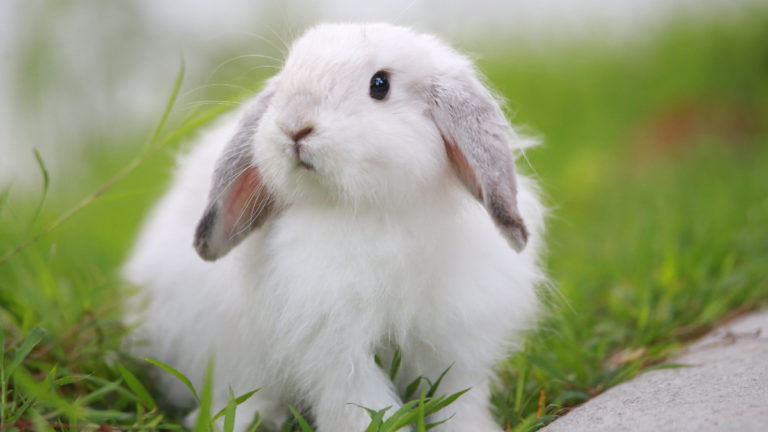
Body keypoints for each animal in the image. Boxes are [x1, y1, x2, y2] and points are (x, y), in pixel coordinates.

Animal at [123, 22, 546, 432]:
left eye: (380, 84)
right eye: (287, 76)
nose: (294, 126)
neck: (372, 210)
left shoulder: (455, 344)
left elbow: (459, 400)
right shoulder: (336, 350)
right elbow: (361, 405)